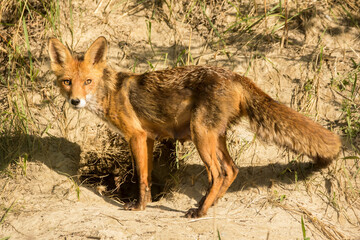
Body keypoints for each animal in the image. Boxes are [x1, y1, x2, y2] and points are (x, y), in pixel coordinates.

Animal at [49, 36, 342, 218]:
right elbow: (148, 176)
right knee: (232, 170)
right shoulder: (149, 138)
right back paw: (206, 205)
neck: (111, 92)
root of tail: (235, 74)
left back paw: (200, 212)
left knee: (219, 173)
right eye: (67, 82)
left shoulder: (136, 136)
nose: (75, 101)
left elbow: (141, 177)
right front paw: (148, 202)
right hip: (214, 136)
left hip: (200, 135)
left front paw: (140, 207)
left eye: (87, 81)